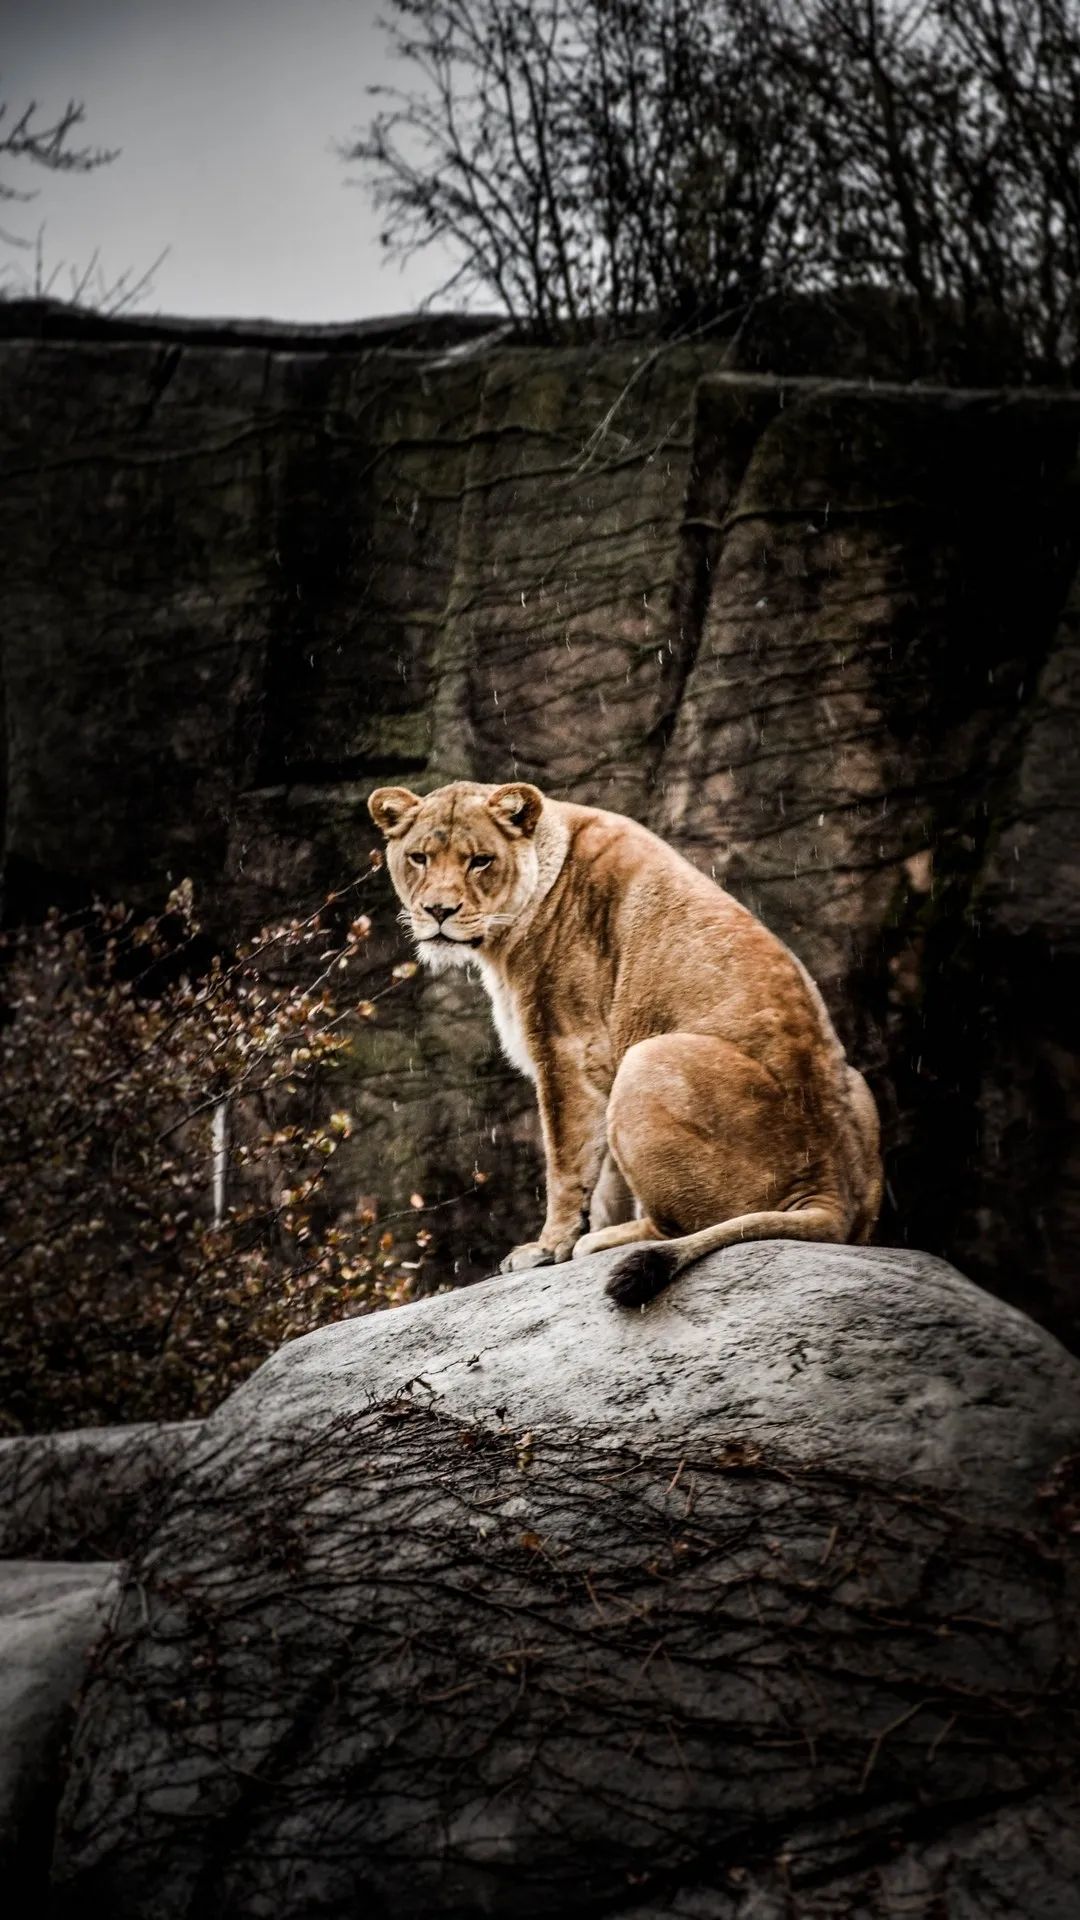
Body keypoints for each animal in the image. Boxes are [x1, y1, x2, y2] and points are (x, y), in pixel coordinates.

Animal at [368, 779, 882, 1307]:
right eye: (419, 858)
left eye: (480, 861)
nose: (438, 911)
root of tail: (829, 1188)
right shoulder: (595, 1067)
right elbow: (606, 1182)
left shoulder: (568, 1051)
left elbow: (567, 1166)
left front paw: (547, 1248)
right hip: (854, 1087)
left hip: (648, 1057)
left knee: (685, 1225)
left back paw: (602, 1242)